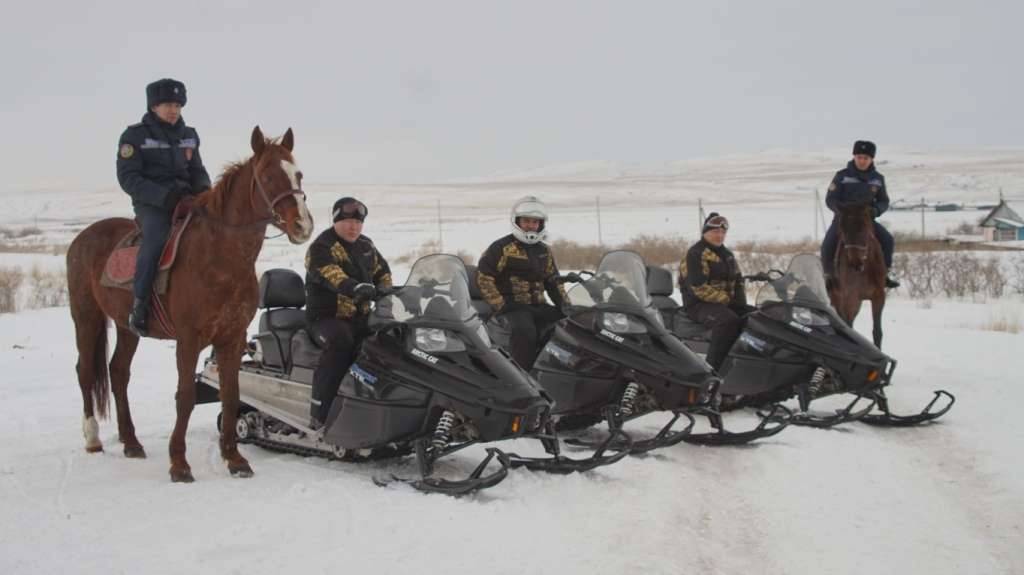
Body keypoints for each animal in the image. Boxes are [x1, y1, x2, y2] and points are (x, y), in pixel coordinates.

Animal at [67, 125, 311, 478]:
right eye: (267, 176)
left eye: (298, 174)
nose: (303, 226)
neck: (219, 259)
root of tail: (81, 238)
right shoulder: (188, 338)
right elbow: (185, 396)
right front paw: (179, 464)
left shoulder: (232, 337)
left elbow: (231, 395)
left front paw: (235, 459)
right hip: (86, 317)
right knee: (86, 371)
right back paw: (93, 438)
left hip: (127, 328)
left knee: (118, 372)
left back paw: (131, 442)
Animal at [823, 201, 888, 343]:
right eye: (842, 230)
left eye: (863, 228)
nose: (855, 263)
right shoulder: (849, 298)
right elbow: (849, 326)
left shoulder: (878, 296)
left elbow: (877, 332)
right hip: (838, 297)